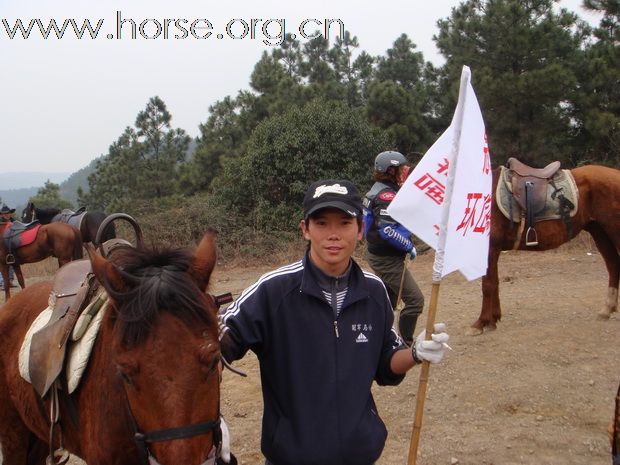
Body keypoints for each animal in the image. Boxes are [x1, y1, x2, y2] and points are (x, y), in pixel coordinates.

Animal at [470, 165, 620, 336]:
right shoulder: (493, 249)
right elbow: (494, 282)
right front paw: (492, 320)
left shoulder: (491, 248)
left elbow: (488, 285)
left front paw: (481, 323)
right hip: (599, 231)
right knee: (613, 265)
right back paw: (606, 309)